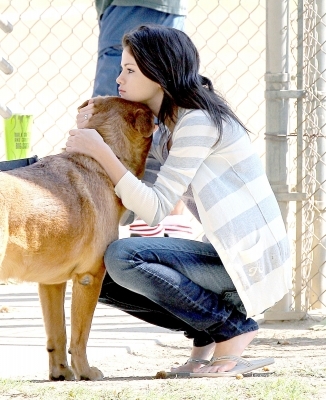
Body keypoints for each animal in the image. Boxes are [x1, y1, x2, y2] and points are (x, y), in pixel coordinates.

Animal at [0, 95, 154, 380]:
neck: (100, 161)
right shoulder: (89, 278)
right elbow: (80, 335)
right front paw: (85, 372)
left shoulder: (51, 283)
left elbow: (57, 333)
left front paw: (60, 372)